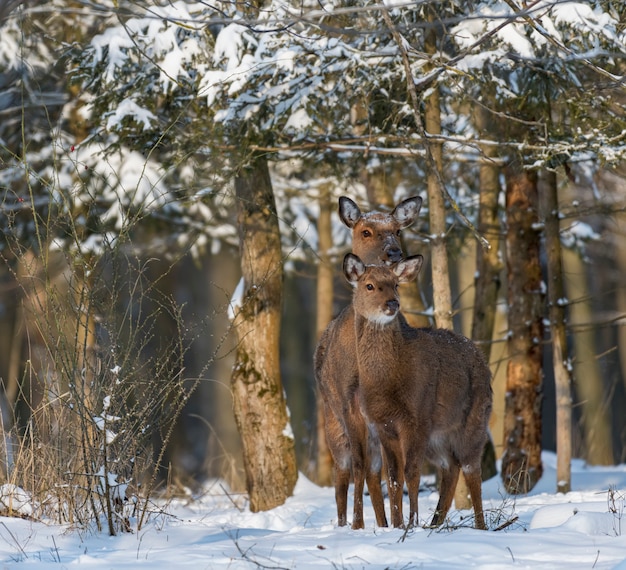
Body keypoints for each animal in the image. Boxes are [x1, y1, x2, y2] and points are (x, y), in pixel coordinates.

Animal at [314, 195, 422, 528]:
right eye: (366, 231)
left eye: (397, 230)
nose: (393, 252)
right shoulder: (348, 404)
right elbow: (358, 468)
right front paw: (358, 524)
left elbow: (391, 473)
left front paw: (396, 523)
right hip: (331, 418)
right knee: (343, 472)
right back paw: (344, 522)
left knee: (375, 473)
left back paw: (384, 522)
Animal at [342, 253, 492, 528]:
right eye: (369, 285)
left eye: (395, 284)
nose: (392, 303)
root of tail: (481, 357)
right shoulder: (383, 425)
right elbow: (393, 477)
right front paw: (398, 524)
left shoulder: (417, 416)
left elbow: (412, 473)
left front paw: (410, 523)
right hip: (438, 435)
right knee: (450, 467)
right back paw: (436, 522)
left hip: (475, 417)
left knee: (471, 468)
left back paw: (480, 525)